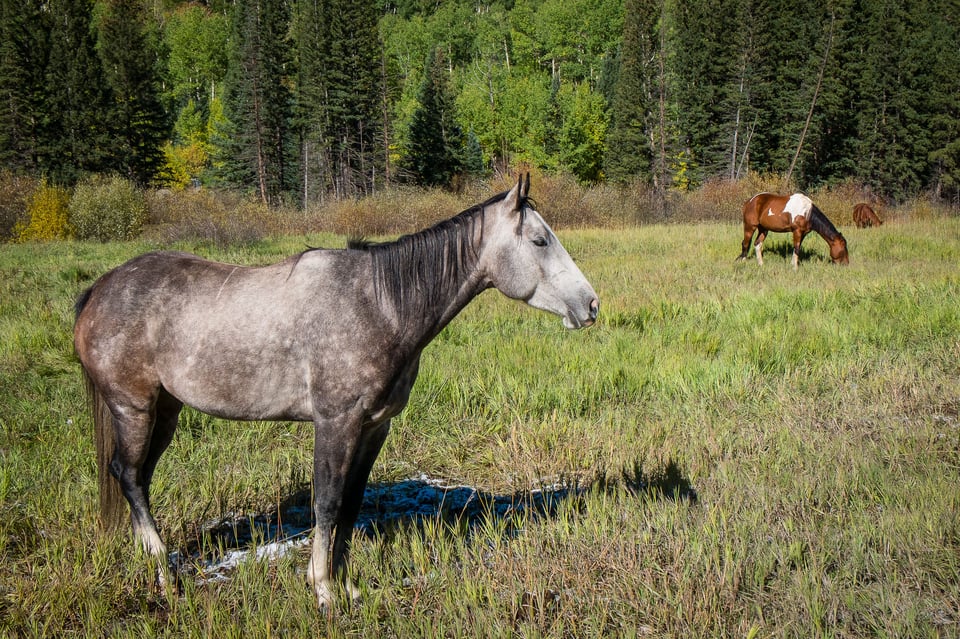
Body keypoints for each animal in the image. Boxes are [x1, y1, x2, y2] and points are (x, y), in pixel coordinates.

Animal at [75, 175, 596, 608]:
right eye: (539, 240)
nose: (590, 305)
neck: (379, 304)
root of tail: (98, 290)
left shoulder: (373, 426)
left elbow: (350, 502)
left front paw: (347, 585)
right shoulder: (336, 421)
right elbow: (326, 501)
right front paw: (323, 589)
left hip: (166, 411)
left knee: (138, 478)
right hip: (133, 407)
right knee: (127, 474)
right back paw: (164, 574)